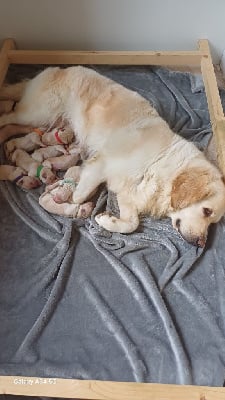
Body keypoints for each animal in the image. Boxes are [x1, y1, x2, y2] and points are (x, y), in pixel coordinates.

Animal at [0, 66, 225, 245]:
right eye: (207, 211)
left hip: (40, 121)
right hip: (37, 113)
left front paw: (107, 220)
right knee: (7, 116)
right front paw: (67, 196)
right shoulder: (101, 164)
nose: (201, 244)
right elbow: (80, 194)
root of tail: (60, 69)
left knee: (12, 126)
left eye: (212, 221)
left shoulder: (128, 193)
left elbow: (131, 224)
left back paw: (8, 145)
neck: (159, 165)